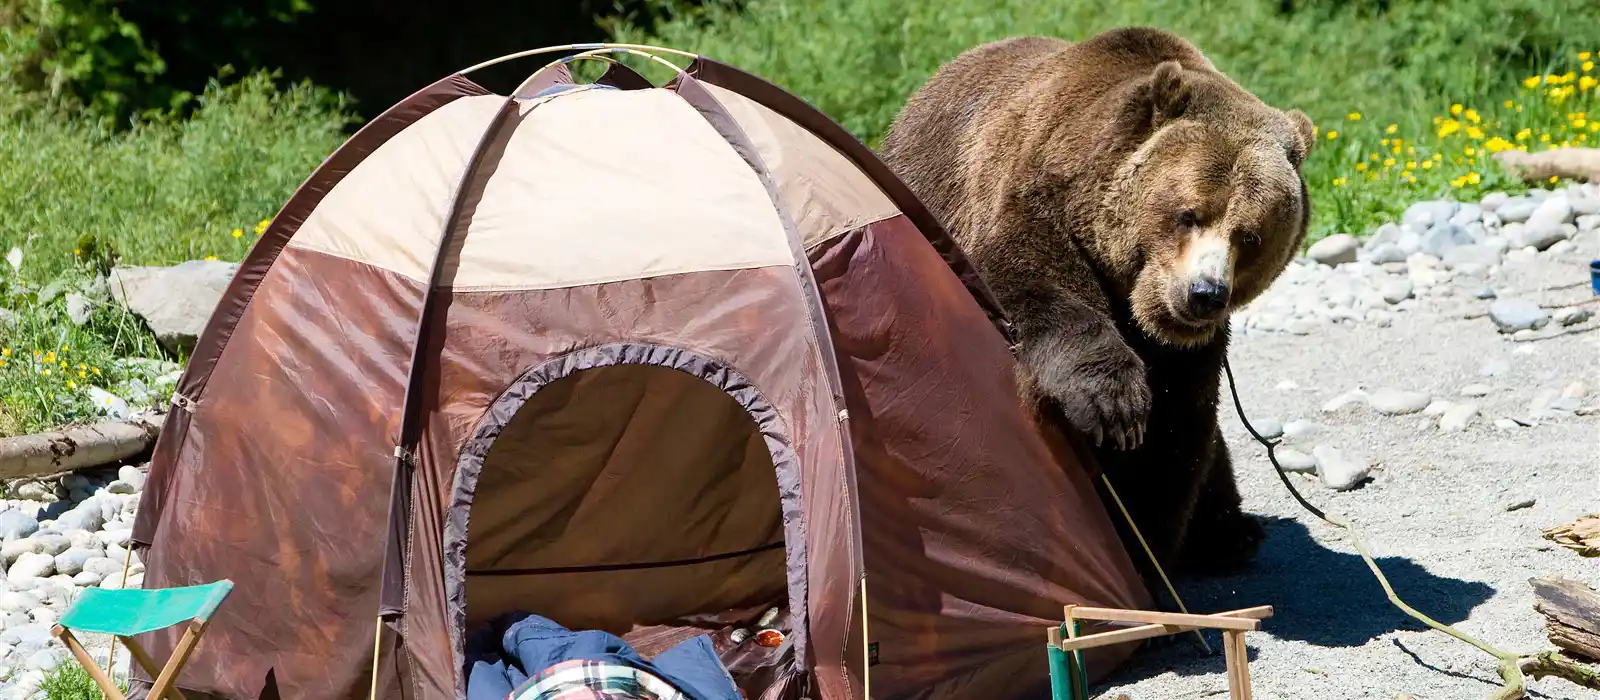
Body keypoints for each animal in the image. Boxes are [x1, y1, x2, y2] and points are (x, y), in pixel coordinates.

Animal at [883, 25, 1318, 575]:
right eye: (1189, 213)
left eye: (1251, 236)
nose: (1204, 294)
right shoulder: (1033, 207)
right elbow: (1041, 290)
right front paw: (1114, 407)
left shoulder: (1188, 351)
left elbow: (1176, 433)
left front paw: (1145, 547)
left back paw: (1231, 534)